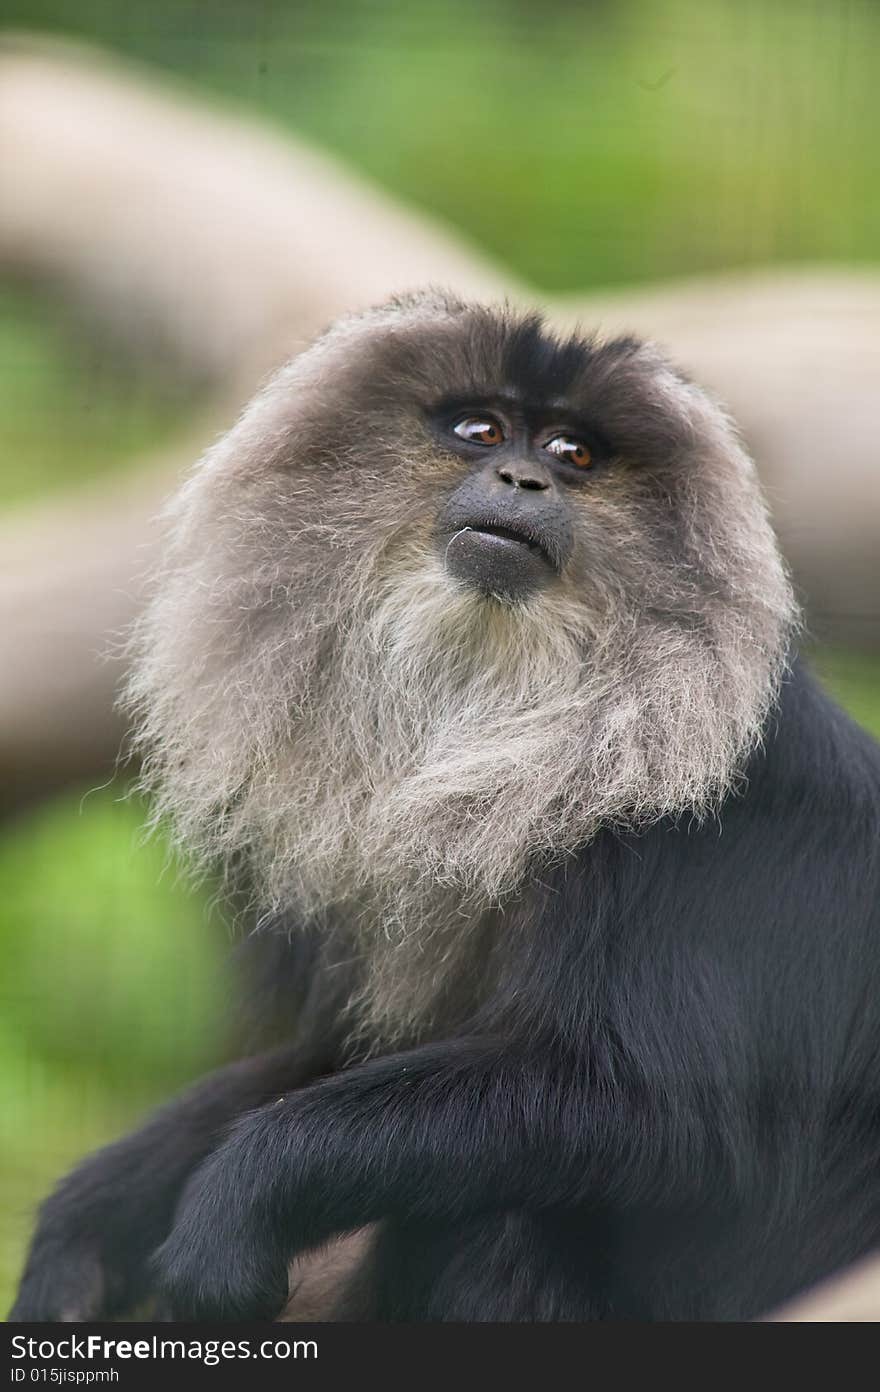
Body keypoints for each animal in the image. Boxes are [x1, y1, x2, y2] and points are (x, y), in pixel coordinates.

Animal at [8, 288, 880, 1319]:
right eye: (481, 432)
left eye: (574, 454)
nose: (522, 478)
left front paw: (233, 1211)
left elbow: (657, 1110)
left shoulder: (695, 829)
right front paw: (80, 1234)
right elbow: (328, 1060)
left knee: (497, 1213)